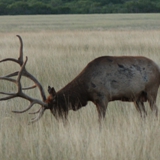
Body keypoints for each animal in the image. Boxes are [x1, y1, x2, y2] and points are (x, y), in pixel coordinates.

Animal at [0, 35, 160, 124]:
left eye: (56, 106)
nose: (63, 123)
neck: (84, 90)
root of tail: (157, 66)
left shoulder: (103, 98)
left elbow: (100, 122)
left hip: (151, 92)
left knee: (155, 112)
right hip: (137, 98)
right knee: (144, 115)